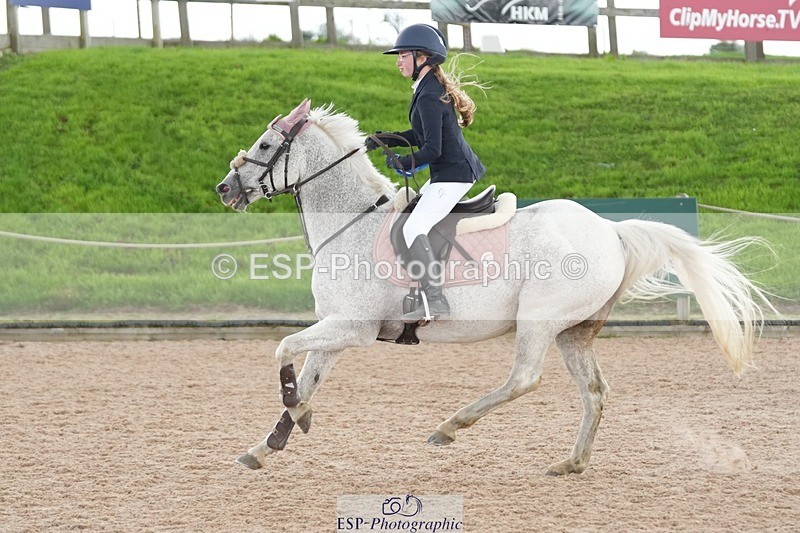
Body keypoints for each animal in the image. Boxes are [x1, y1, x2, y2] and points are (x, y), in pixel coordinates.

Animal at [215, 99, 772, 475]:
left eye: (266, 146)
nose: (224, 189)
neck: (352, 221)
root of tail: (610, 231)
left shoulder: (353, 328)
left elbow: (282, 349)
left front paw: (296, 420)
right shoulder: (337, 330)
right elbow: (305, 375)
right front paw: (270, 443)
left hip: (539, 319)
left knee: (524, 378)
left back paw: (449, 427)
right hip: (573, 332)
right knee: (594, 391)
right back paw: (571, 463)